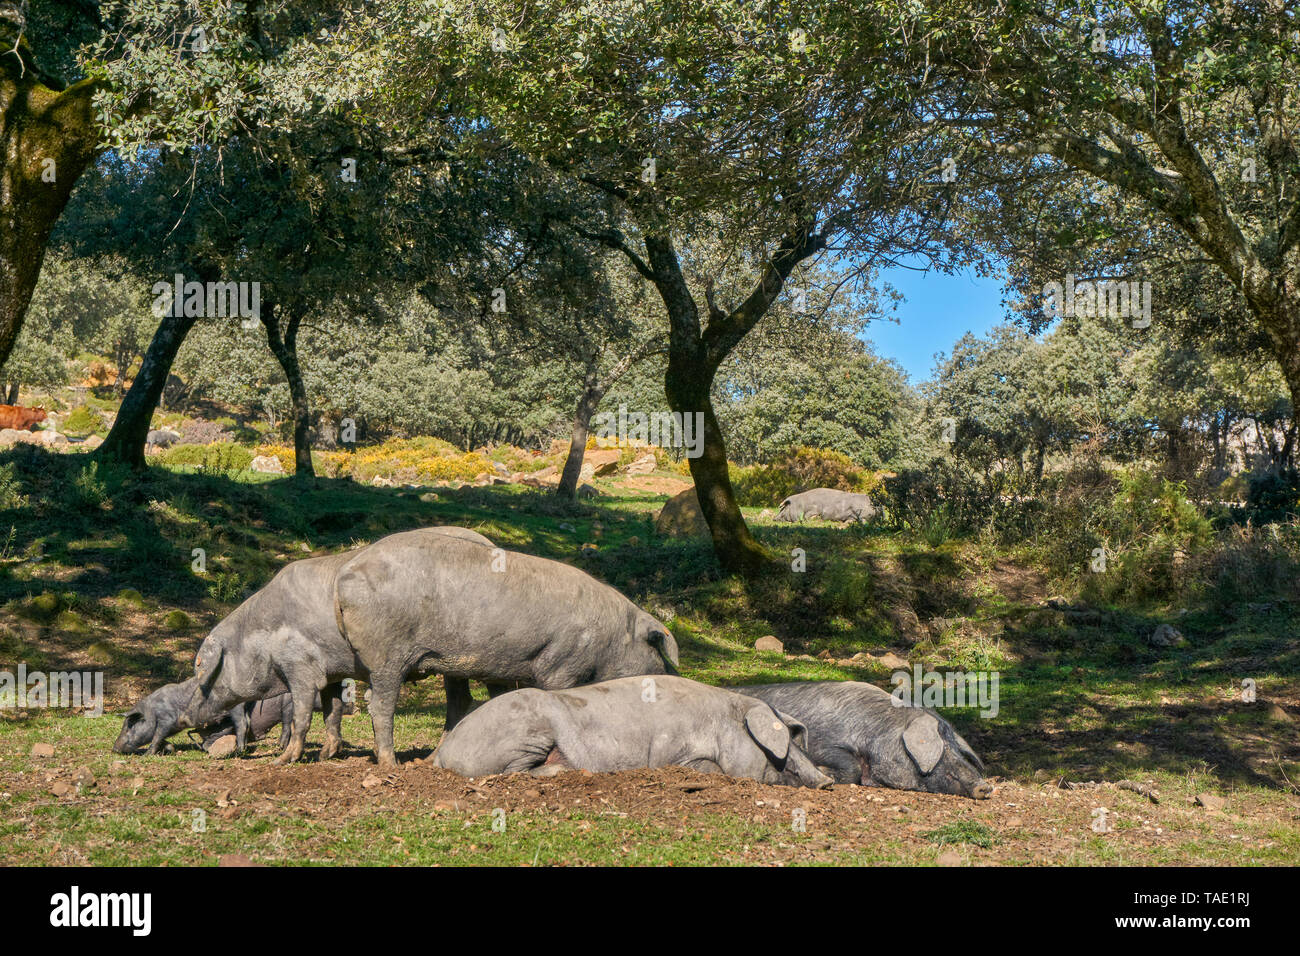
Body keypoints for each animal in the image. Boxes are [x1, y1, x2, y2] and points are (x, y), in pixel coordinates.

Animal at [335, 530, 681, 770]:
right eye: (655, 650)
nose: (673, 676)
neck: (611, 638)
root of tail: (344, 576)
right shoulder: (561, 664)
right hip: (386, 654)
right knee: (380, 705)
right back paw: (390, 764)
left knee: (456, 702)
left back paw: (427, 759)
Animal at [434, 676, 832, 790]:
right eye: (782, 757)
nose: (827, 781)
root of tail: (442, 750)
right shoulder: (673, 752)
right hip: (525, 730)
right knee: (511, 773)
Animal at [733, 681, 993, 801]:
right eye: (943, 747)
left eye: (958, 749)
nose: (985, 786)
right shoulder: (822, 741)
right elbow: (850, 766)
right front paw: (824, 772)